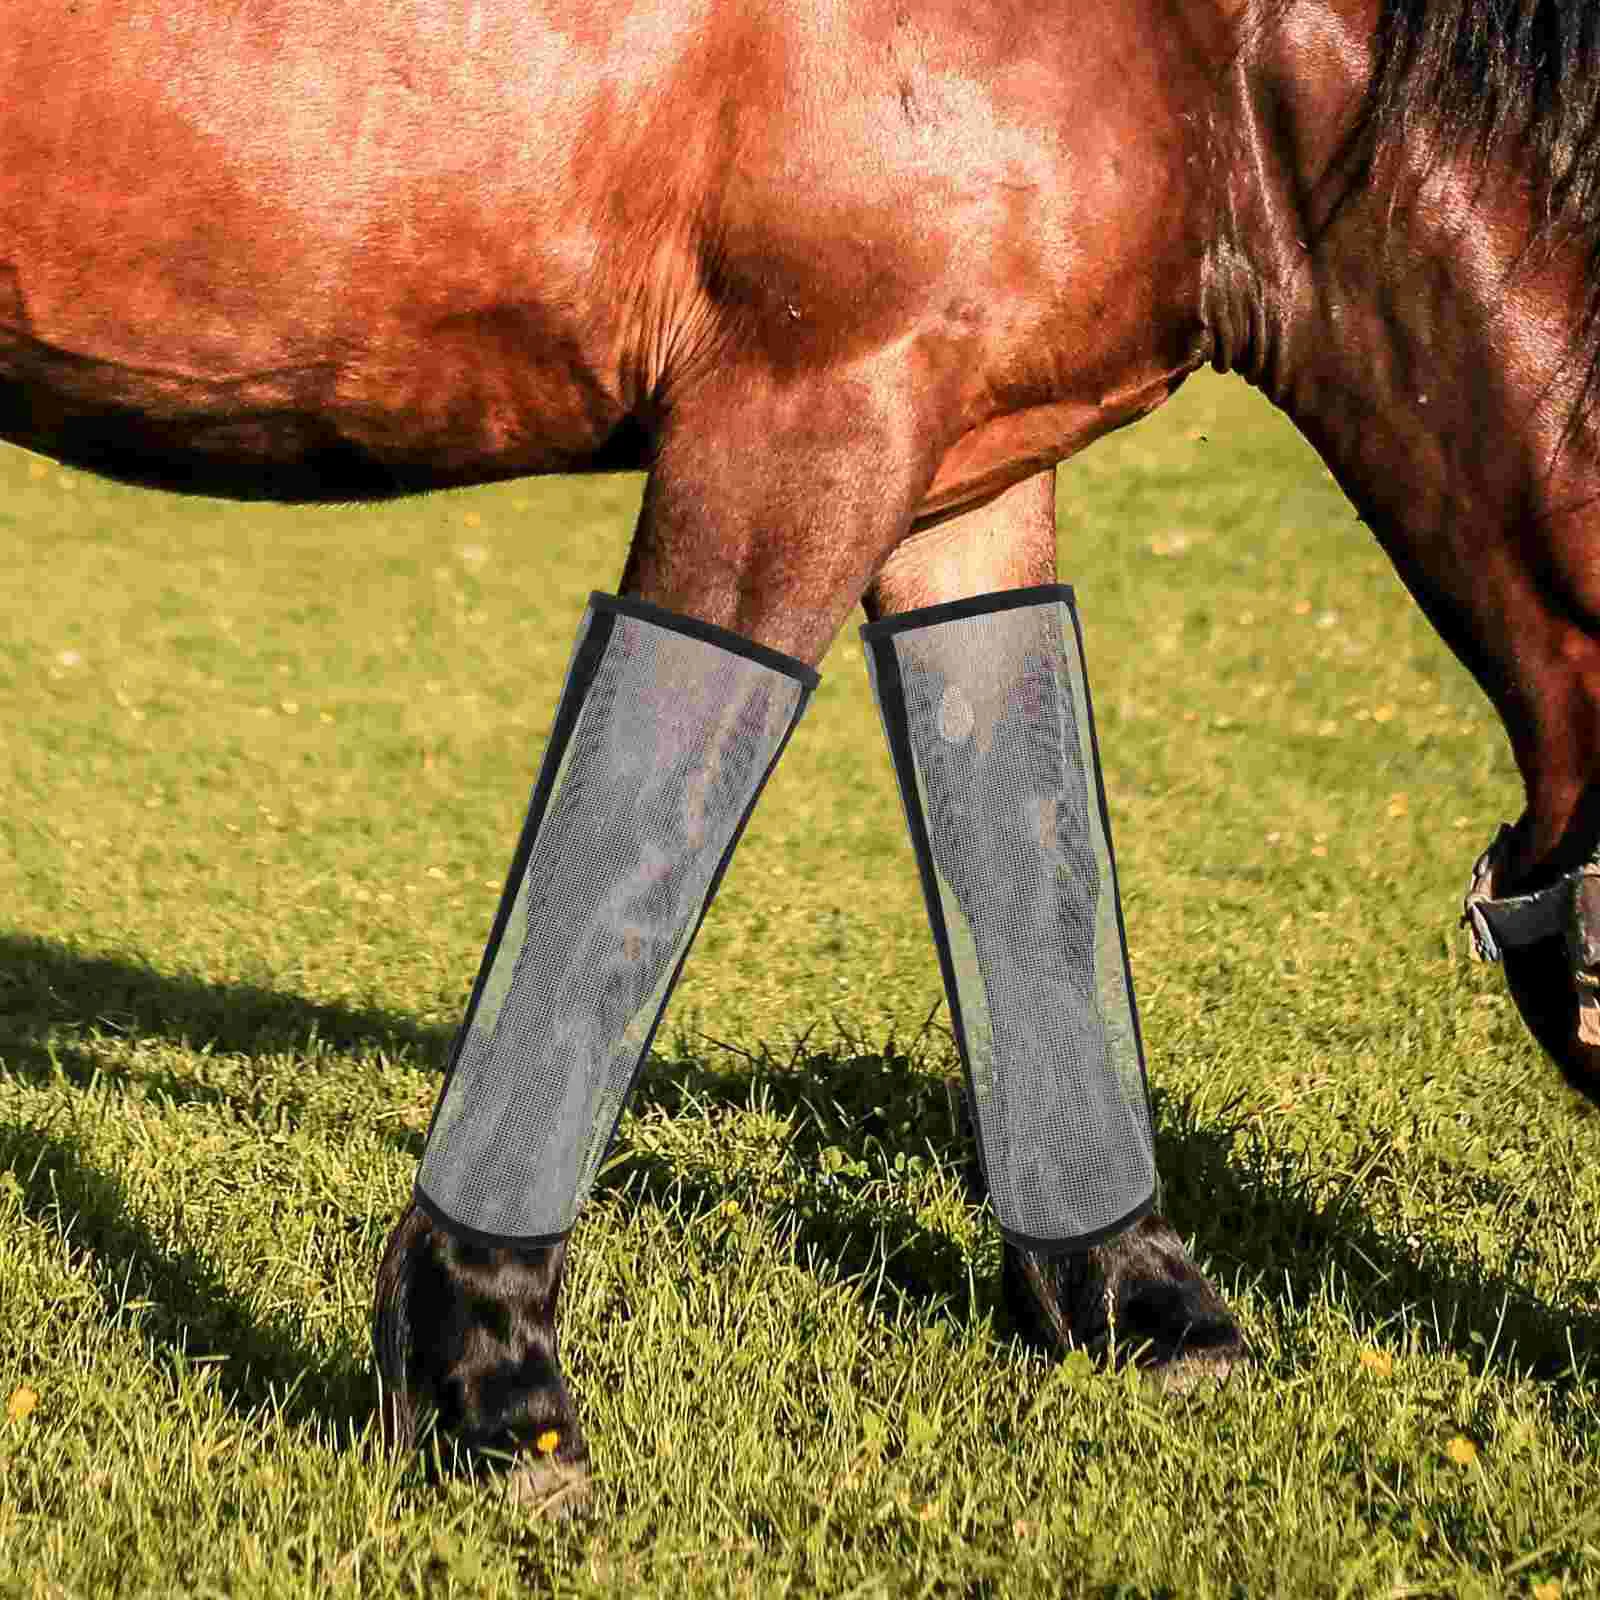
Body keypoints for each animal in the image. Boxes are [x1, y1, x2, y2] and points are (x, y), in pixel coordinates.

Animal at [4, 0, 1598, 1499]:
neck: (1213, 63)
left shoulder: (973, 469)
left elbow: (1025, 856)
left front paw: (1134, 1293)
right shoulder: (801, 418)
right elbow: (633, 859)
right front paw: (487, 1375)